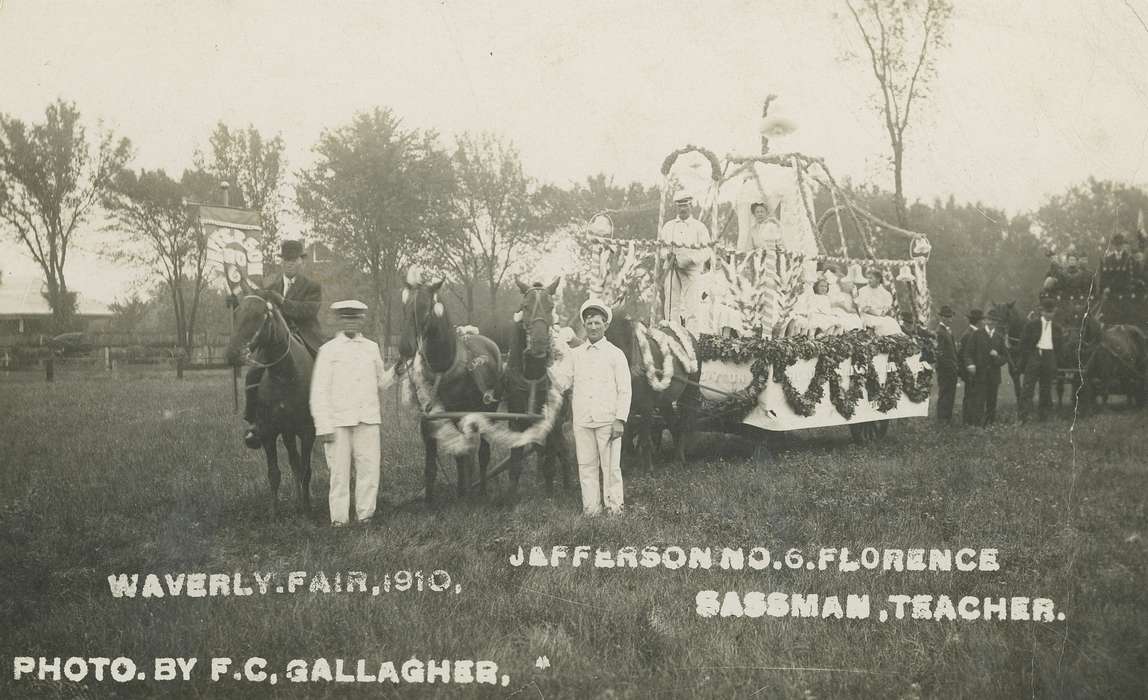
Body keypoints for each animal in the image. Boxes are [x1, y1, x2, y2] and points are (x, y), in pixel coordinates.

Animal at [223, 291, 316, 514]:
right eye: (236, 313)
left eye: (260, 315)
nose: (232, 354)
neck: (285, 376)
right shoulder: (268, 433)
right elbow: (274, 474)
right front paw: (273, 512)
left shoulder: (307, 432)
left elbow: (307, 471)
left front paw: (307, 509)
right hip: (287, 433)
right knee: (294, 463)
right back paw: (297, 500)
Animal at [397, 274, 500, 500]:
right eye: (405, 307)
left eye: (426, 308)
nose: (405, 347)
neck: (442, 370)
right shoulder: (427, 424)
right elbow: (431, 468)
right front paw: (429, 500)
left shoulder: (458, 416)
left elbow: (462, 457)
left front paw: (463, 495)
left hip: (488, 412)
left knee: (483, 453)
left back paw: (482, 491)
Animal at [502, 275, 574, 493]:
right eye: (525, 306)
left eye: (551, 306)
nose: (540, 343)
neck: (533, 375)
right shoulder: (515, 421)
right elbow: (515, 463)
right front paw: (510, 495)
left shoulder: (553, 422)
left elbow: (550, 462)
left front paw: (549, 493)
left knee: (562, 451)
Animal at [606, 314, 702, 468]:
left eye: (627, 340)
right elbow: (625, 436)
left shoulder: (647, 406)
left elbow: (645, 438)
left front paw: (648, 467)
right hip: (665, 402)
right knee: (674, 423)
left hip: (690, 392)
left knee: (684, 422)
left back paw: (680, 457)